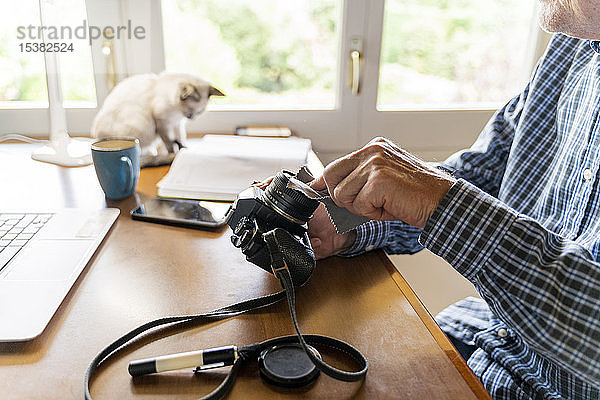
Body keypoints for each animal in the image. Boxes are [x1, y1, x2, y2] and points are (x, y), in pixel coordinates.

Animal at [91, 72, 225, 166]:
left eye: (199, 112)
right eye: (190, 110)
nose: (191, 117)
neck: (177, 112)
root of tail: (97, 136)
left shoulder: (177, 123)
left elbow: (181, 138)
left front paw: (184, 149)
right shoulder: (162, 123)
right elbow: (169, 143)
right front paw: (174, 152)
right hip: (143, 122)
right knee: (140, 154)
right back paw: (154, 155)